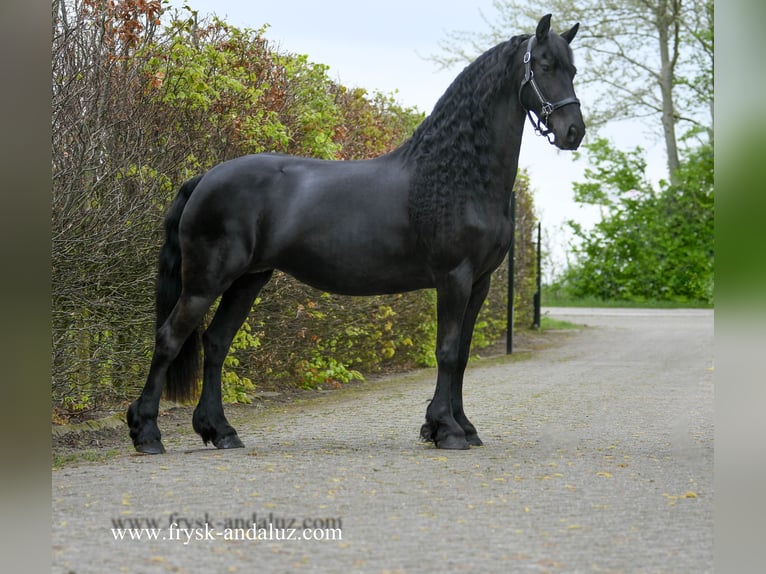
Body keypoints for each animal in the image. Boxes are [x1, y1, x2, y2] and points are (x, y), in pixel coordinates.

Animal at [127, 14, 584, 453]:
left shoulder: (481, 282)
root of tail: (204, 178)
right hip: (206, 281)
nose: (573, 131)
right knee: (170, 338)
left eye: (574, 69)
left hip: (247, 280)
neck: (455, 175)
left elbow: (464, 353)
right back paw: (147, 433)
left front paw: (460, 427)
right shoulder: (454, 277)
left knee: (216, 343)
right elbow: (448, 350)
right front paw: (447, 429)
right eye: (545, 65)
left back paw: (220, 430)